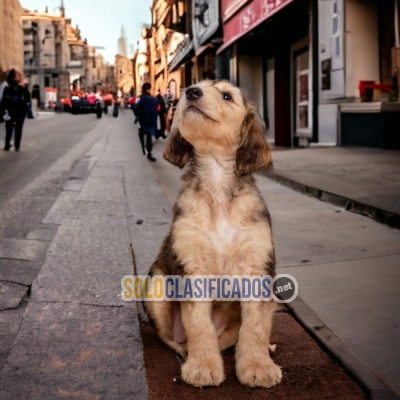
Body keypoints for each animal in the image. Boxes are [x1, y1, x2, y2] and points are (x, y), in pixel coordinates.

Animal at [145, 79, 282, 390]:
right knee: (173, 340)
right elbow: (199, 324)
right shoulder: (192, 267)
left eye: (227, 96)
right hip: (156, 287)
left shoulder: (257, 268)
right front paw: (203, 366)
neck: (217, 180)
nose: (190, 92)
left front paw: (257, 366)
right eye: (193, 87)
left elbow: (256, 325)